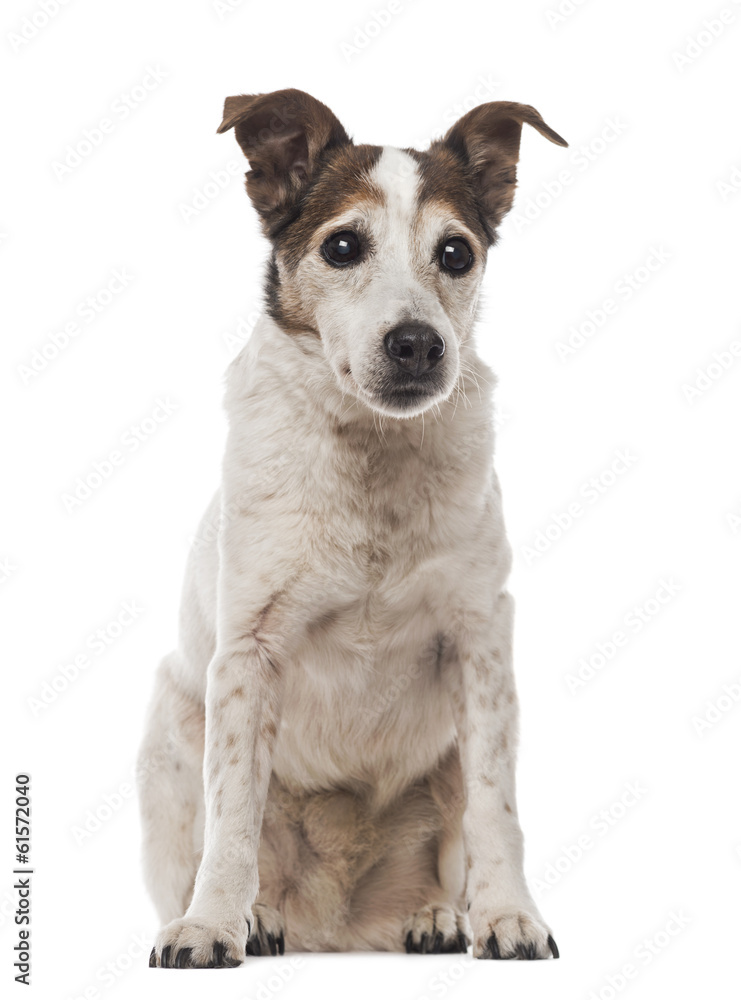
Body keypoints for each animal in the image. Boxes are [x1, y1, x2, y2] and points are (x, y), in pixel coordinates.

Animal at [139, 88, 568, 968]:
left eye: (455, 253)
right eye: (342, 246)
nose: (417, 344)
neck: (372, 455)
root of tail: (337, 925)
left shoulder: (481, 646)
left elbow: (495, 809)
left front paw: (507, 916)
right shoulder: (246, 655)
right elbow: (233, 813)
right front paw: (212, 924)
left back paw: (436, 915)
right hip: (170, 718)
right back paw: (256, 915)